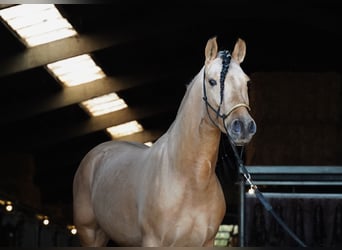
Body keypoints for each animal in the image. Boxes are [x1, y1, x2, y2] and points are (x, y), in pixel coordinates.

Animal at [73, 36, 256, 246]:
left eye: (246, 82)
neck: (191, 181)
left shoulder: (206, 243)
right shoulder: (153, 241)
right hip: (89, 233)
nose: (243, 126)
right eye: (212, 81)